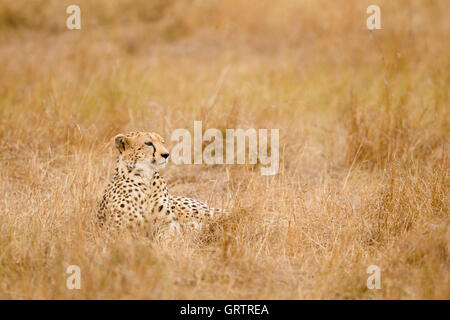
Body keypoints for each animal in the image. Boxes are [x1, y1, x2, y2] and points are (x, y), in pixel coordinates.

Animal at [96, 131, 227, 231]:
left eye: (162, 142)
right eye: (148, 143)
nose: (166, 154)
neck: (145, 176)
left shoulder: (166, 224)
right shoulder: (119, 229)